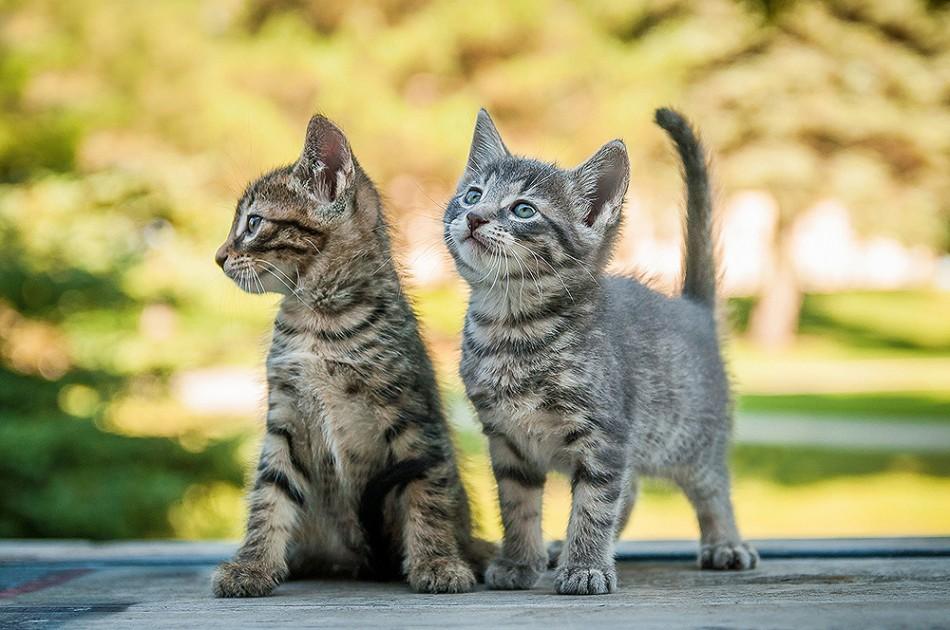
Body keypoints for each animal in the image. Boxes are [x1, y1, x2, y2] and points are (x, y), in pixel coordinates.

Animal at [213, 115, 494, 596]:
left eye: (253, 222)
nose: (218, 257)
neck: (317, 318)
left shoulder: (412, 415)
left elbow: (427, 491)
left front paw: (437, 561)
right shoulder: (285, 416)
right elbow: (269, 493)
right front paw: (252, 565)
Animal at [442, 108, 764, 596]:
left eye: (523, 209)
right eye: (472, 195)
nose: (474, 217)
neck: (512, 328)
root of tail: (692, 309)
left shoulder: (606, 433)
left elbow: (594, 505)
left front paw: (586, 568)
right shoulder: (507, 439)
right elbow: (518, 505)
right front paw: (519, 562)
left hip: (691, 437)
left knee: (712, 488)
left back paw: (725, 542)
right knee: (630, 493)